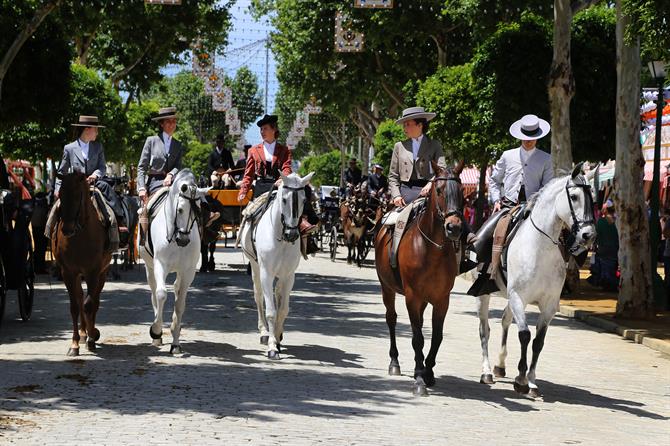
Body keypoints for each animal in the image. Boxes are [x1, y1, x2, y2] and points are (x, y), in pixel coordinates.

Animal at [51, 172, 112, 358]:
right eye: (60, 194)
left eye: (78, 196)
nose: (67, 229)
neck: (80, 236)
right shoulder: (68, 272)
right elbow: (75, 307)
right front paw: (75, 344)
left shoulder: (93, 272)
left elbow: (88, 305)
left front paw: (93, 336)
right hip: (78, 275)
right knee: (79, 298)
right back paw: (84, 334)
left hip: (102, 273)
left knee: (94, 302)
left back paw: (89, 335)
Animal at [138, 169, 209, 354]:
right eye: (180, 209)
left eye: (198, 211)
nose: (183, 240)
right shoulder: (160, 265)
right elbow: (161, 294)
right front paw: (156, 331)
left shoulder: (188, 271)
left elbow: (180, 303)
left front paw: (175, 341)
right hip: (150, 268)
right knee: (154, 292)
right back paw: (157, 337)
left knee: (176, 289)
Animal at [240, 171, 316, 358]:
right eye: (284, 200)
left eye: (304, 200)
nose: (292, 234)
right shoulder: (266, 273)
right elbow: (271, 311)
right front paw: (272, 346)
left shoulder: (289, 276)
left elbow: (283, 309)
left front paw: (278, 337)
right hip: (255, 267)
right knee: (259, 296)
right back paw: (264, 333)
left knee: (277, 294)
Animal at [376, 165, 464, 398]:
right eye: (439, 190)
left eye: (461, 192)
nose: (454, 227)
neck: (431, 248)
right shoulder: (412, 297)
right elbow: (417, 338)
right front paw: (419, 379)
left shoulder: (442, 300)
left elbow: (436, 336)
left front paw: (429, 372)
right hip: (387, 288)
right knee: (391, 319)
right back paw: (394, 362)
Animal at [478, 164, 600, 398]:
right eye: (574, 196)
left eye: (594, 199)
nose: (588, 235)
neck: (539, 249)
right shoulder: (518, 297)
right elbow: (525, 335)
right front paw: (521, 380)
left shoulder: (548, 306)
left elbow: (538, 342)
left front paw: (532, 382)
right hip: (484, 294)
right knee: (485, 329)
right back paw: (486, 371)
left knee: (505, 321)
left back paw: (500, 366)